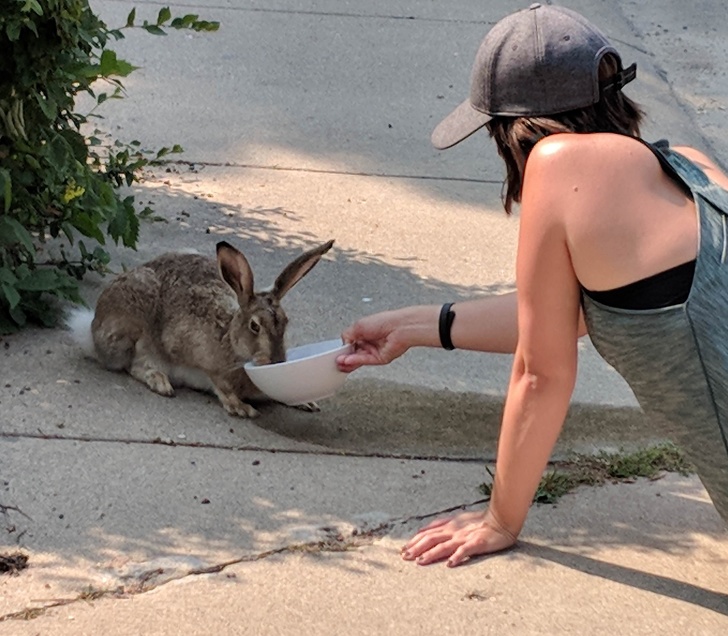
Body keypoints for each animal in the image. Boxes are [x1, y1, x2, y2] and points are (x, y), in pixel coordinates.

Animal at [67, 238, 334, 418]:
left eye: (285, 322)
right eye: (254, 326)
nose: (276, 361)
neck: (231, 342)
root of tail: (92, 328)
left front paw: (306, 402)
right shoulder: (198, 355)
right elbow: (219, 382)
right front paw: (241, 408)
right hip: (131, 328)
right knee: (133, 365)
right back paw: (161, 382)